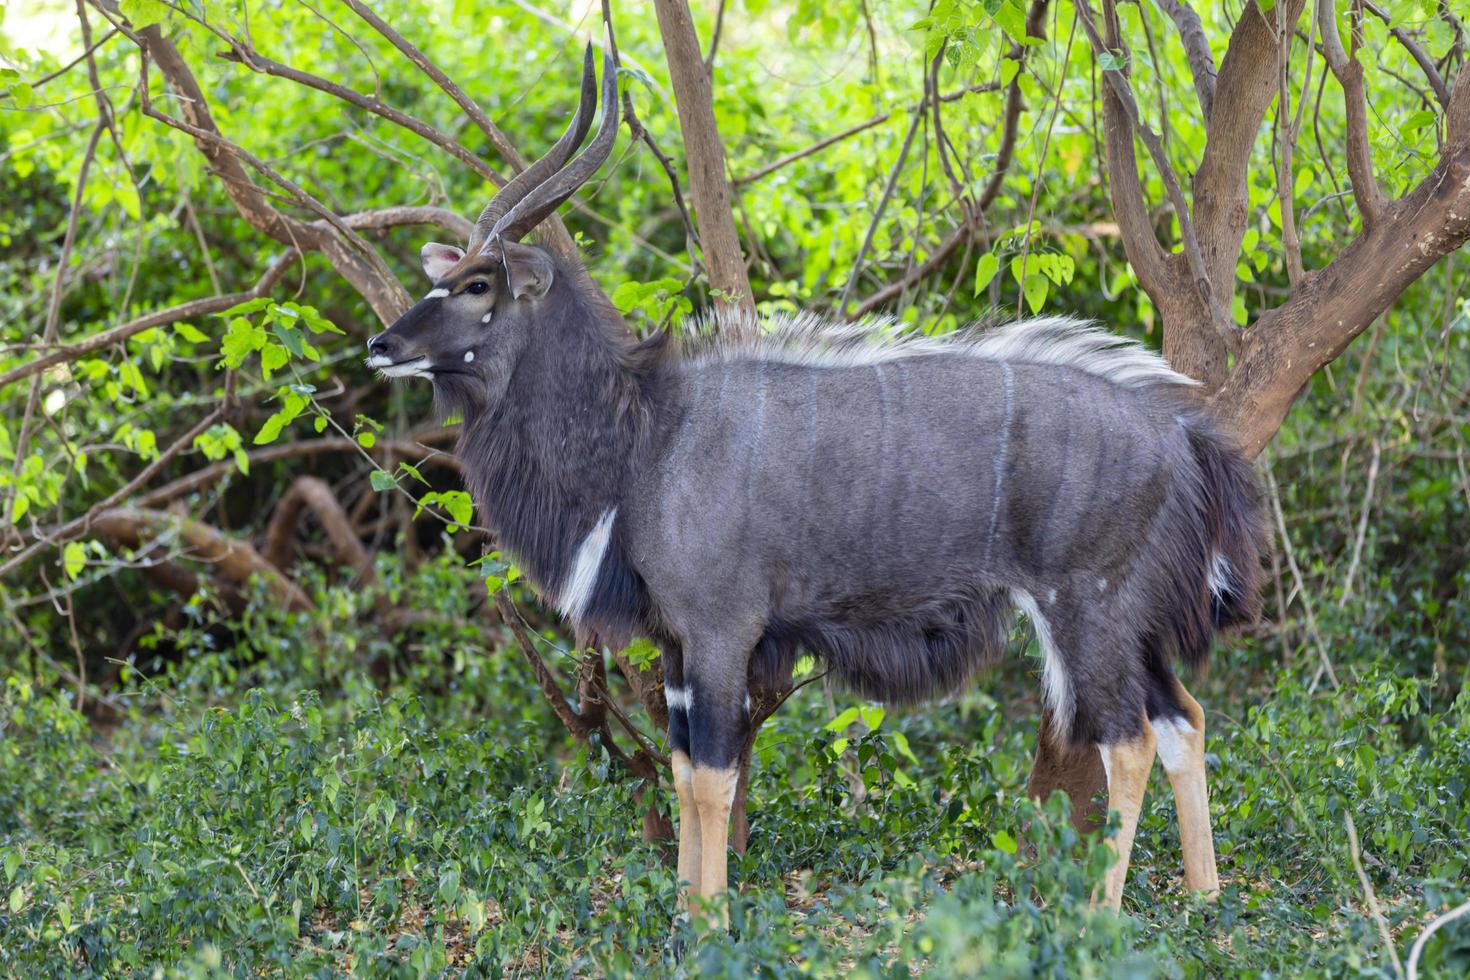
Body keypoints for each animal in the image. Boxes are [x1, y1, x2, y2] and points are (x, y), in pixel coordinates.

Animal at [364, 36, 1264, 922]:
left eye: (478, 285)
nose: (380, 346)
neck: (644, 439)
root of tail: (1180, 433)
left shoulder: (722, 629)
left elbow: (713, 777)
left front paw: (712, 925)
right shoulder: (679, 643)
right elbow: (685, 770)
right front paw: (685, 913)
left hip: (1087, 605)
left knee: (1130, 738)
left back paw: (1101, 918)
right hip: (1128, 617)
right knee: (1183, 717)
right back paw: (1206, 900)